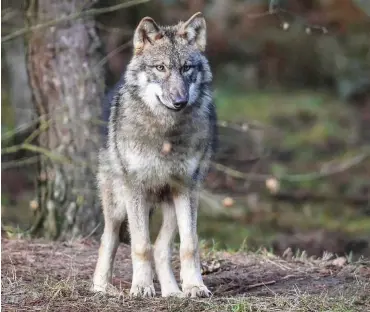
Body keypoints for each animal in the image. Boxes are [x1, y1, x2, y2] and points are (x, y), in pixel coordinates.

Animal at [92, 12, 218, 298]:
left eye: (186, 68)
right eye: (160, 68)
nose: (180, 101)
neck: (166, 133)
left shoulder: (187, 188)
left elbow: (189, 245)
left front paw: (194, 286)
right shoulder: (135, 188)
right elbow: (140, 245)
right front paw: (141, 286)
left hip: (171, 203)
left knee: (162, 247)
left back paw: (172, 292)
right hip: (119, 203)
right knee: (109, 238)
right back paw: (101, 287)